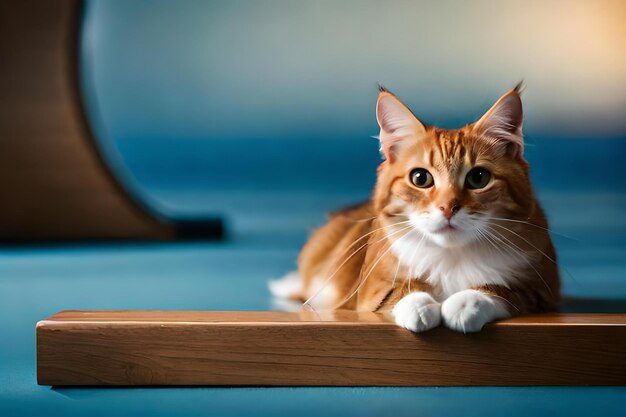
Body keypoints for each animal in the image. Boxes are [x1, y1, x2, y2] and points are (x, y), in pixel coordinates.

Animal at [266, 84, 560, 332]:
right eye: (421, 178)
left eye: (478, 178)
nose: (448, 208)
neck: (452, 256)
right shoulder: (372, 290)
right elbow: (402, 291)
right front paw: (421, 308)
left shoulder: (541, 289)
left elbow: (500, 289)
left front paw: (464, 304)